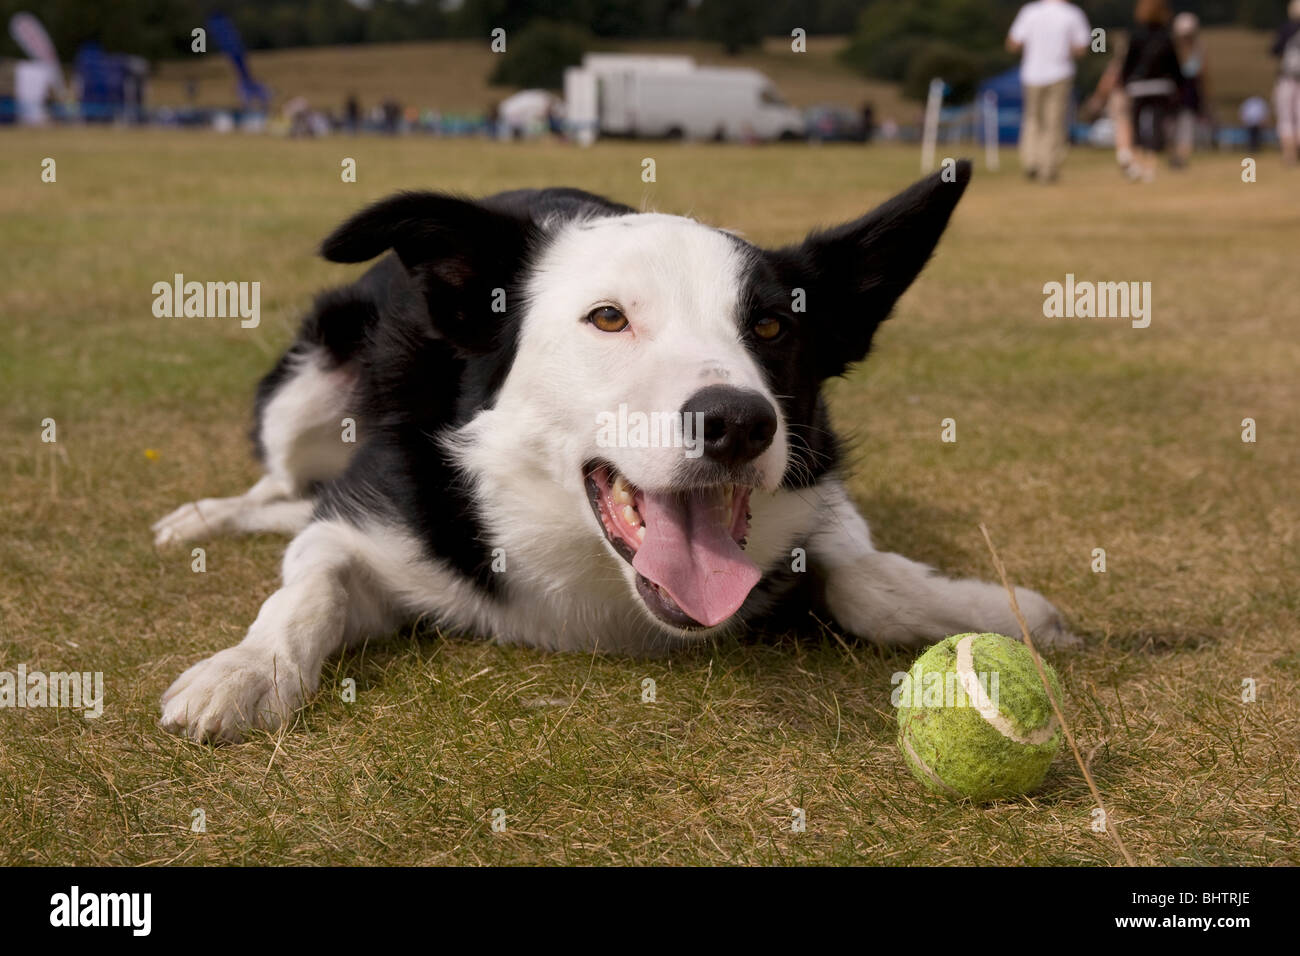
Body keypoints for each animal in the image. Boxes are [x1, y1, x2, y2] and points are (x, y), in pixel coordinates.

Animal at [152, 162, 1076, 749]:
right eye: (607, 318)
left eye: (772, 325)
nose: (738, 423)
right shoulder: (368, 514)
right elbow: (308, 584)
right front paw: (246, 669)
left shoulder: (817, 480)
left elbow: (868, 581)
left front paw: (987, 608)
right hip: (309, 383)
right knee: (280, 488)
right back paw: (206, 517)